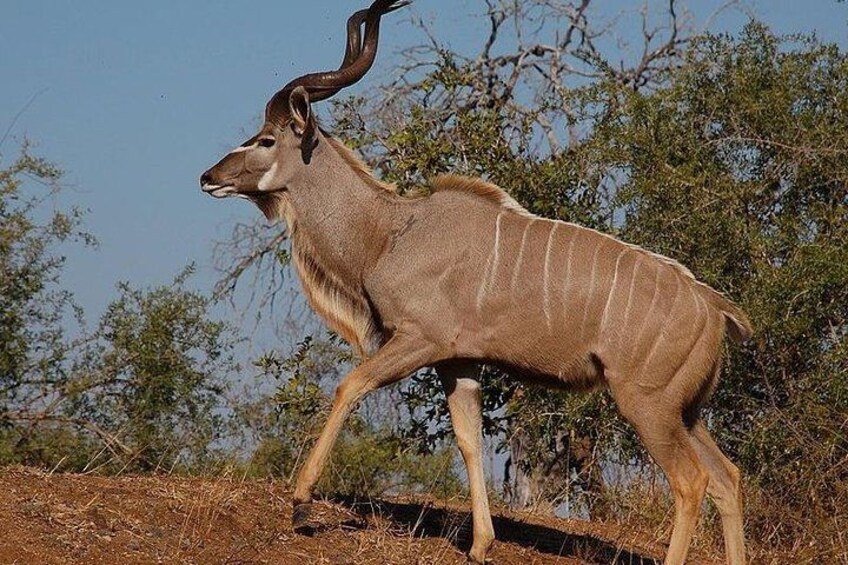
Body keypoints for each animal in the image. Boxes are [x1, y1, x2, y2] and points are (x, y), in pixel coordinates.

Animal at [200, 2, 752, 563]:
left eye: (266, 139)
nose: (208, 177)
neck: (389, 232)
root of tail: (714, 308)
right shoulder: (458, 360)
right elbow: (469, 439)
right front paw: (481, 544)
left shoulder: (419, 339)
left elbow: (350, 385)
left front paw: (301, 500)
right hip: (685, 410)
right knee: (727, 478)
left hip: (647, 404)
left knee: (690, 483)